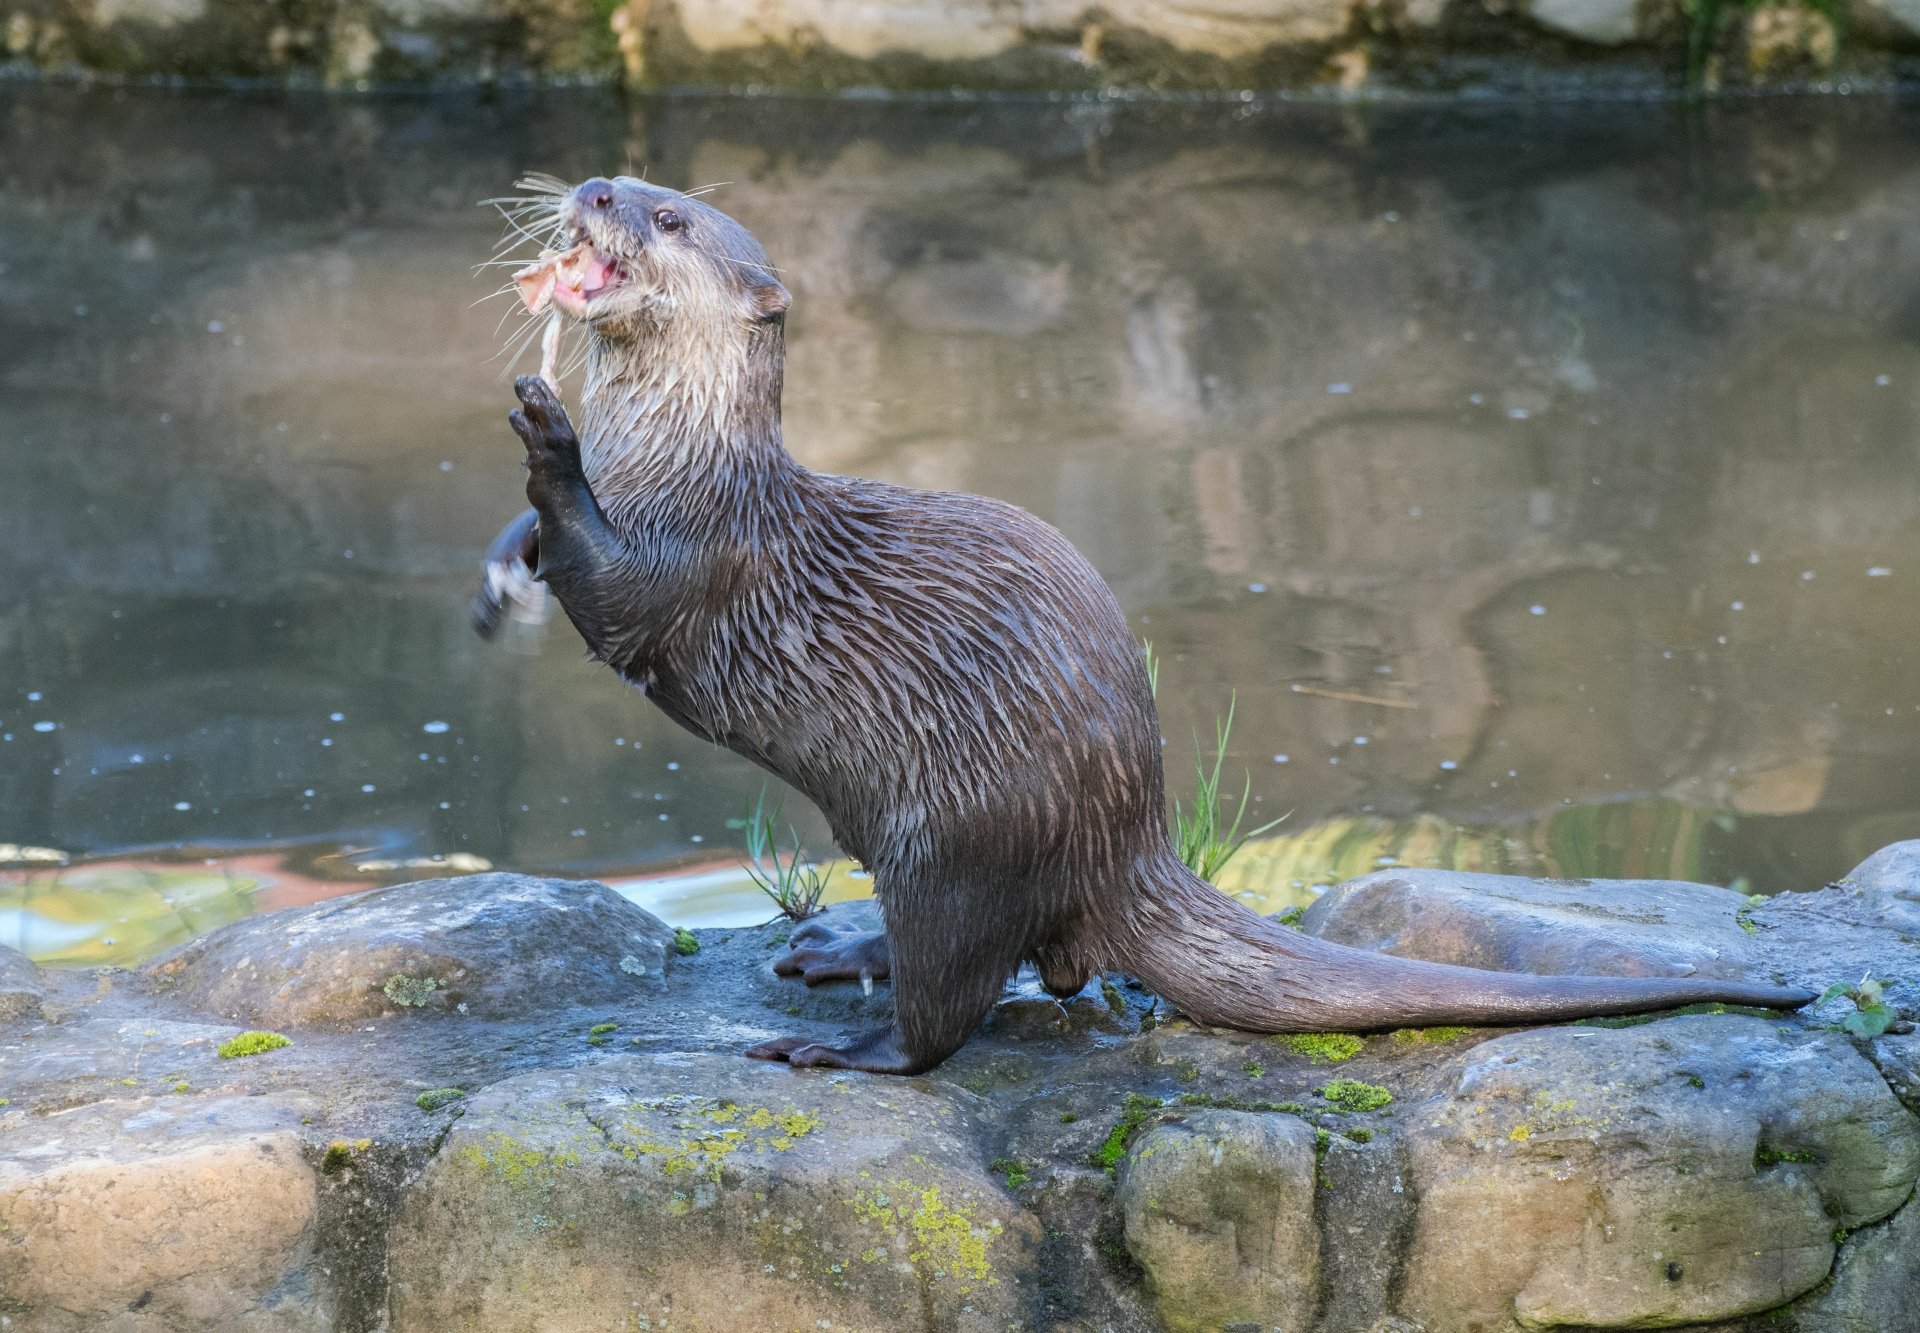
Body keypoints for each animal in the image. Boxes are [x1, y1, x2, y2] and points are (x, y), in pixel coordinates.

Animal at [472, 174, 1813, 1075]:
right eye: (628, 185)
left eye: (671, 218)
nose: (596, 189)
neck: (681, 464)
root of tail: (1129, 834)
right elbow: (548, 559)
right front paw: (501, 564)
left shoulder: (703, 559)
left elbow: (618, 597)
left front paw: (550, 442)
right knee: (1033, 962)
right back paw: (839, 949)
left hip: (957, 832)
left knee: (956, 1003)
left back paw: (846, 1041)